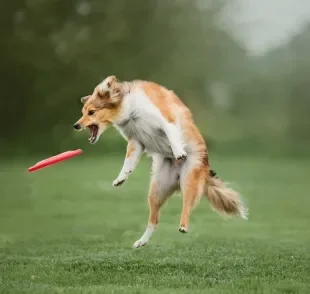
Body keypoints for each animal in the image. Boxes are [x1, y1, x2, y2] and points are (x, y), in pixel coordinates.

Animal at [72, 76, 247, 248]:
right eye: (83, 112)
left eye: (91, 112)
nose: (75, 126)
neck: (130, 111)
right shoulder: (136, 142)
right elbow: (128, 162)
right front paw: (120, 178)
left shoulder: (165, 121)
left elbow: (171, 134)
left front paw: (178, 151)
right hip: (156, 190)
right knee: (154, 220)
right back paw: (141, 241)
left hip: (189, 180)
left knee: (186, 206)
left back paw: (183, 225)